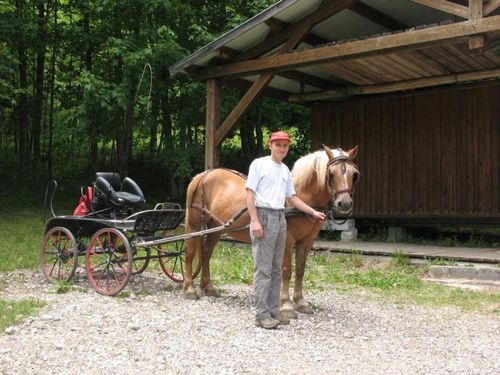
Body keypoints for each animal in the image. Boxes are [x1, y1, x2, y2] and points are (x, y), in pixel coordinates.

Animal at [182, 145, 358, 318]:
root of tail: (202, 175)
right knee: (189, 252)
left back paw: (208, 287)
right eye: (331, 174)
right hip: (194, 225)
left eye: (354, 174)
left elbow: (300, 270)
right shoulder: (287, 239)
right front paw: (286, 305)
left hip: (216, 227)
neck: (301, 198)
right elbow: (287, 271)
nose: (345, 203)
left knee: (205, 253)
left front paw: (300, 302)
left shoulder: (307, 240)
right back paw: (189, 288)